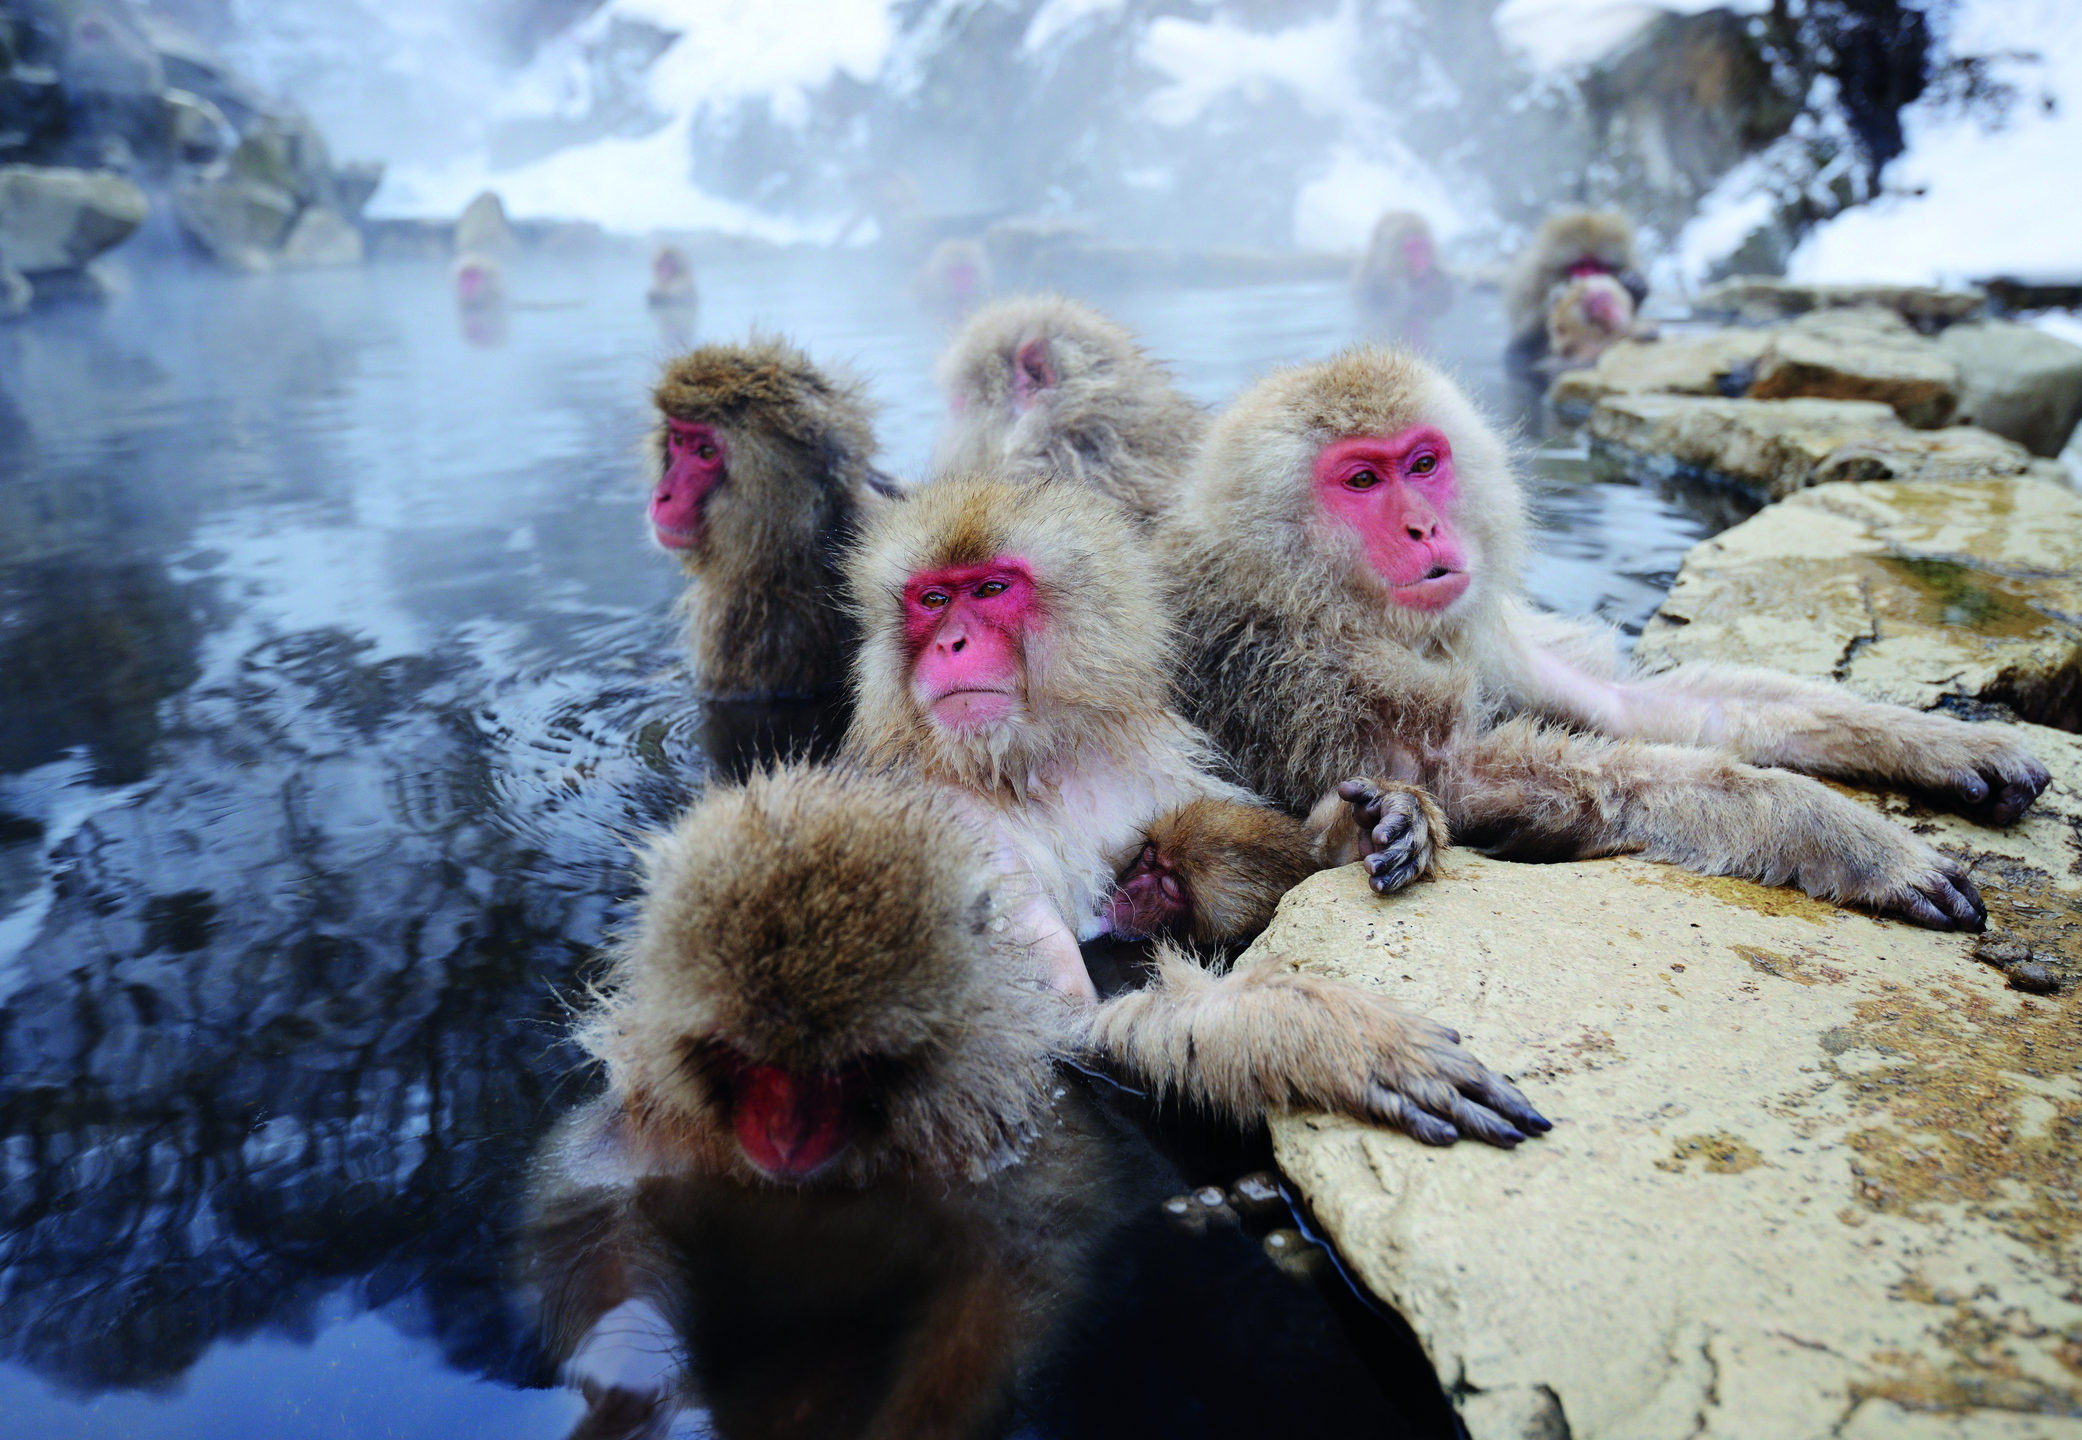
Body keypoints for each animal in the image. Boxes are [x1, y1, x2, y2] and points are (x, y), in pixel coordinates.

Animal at [836, 472, 1540, 1148]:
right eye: (932, 601)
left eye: (989, 589)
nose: (951, 642)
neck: (1031, 762)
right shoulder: (949, 823)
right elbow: (1057, 1027)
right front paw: (1311, 1033)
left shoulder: (1155, 765)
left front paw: (1382, 821)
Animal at [1165, 349, 2057, 932]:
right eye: (1360, 480)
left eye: (1420, 464)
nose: (1424, 528)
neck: (1312, 596)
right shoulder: (1290, 670)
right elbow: (1463, 778)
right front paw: (1844, 836)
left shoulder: (1478, 631)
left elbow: (1630, 704)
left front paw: (1941, 742)